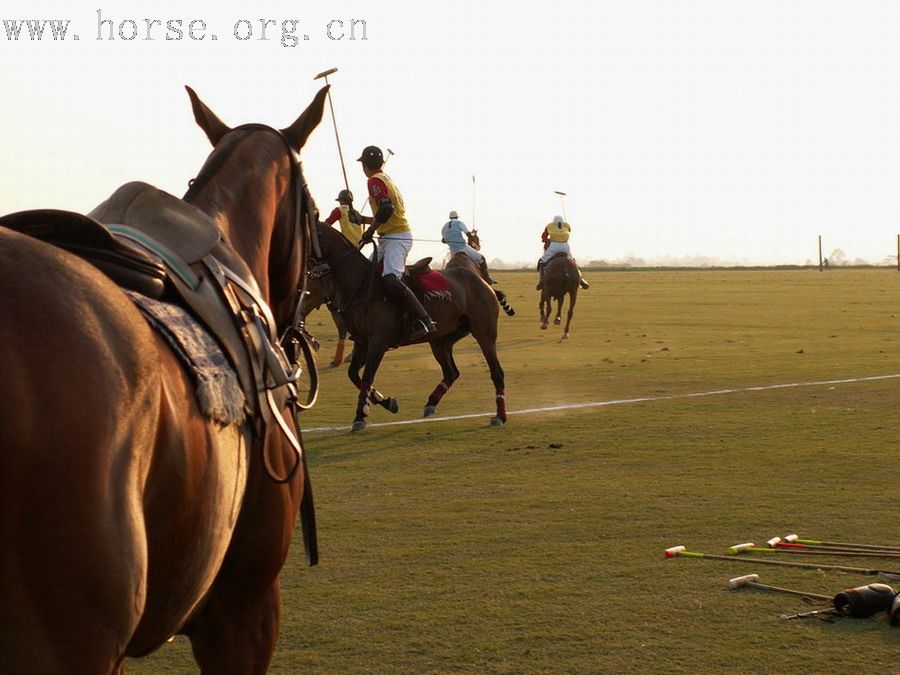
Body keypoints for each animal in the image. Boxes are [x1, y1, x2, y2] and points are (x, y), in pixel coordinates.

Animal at [312, 224, 506, 430]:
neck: (362, 284)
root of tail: (483, 282)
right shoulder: (362, 341)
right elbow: (353, 375)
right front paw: (384, 402)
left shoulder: (378, 342)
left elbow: (366, 376)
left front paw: (360, 415)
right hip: (441, 340)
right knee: (451, 372)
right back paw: (431, 403)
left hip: (484, 333)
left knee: (497, 373)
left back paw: (500, 416)